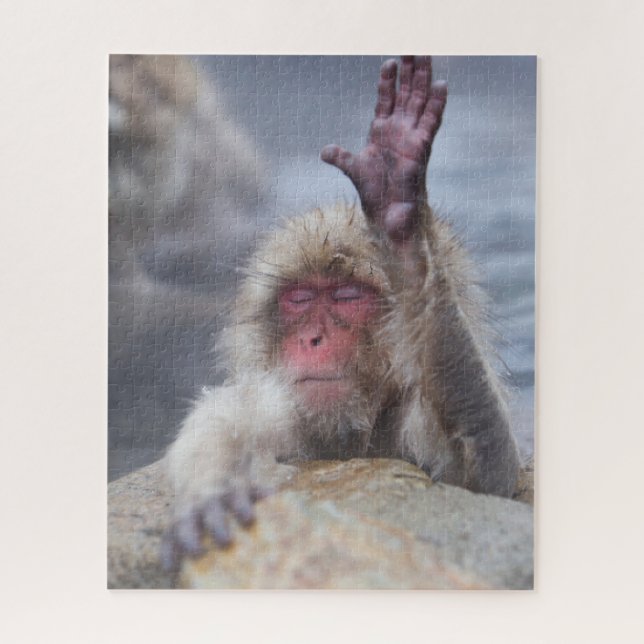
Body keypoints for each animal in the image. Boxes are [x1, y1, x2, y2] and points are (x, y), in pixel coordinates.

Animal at [162, 56, 521, 565]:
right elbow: (220, 423)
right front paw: (211, 493)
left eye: (348, 296)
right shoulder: (275, 408)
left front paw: (404, 235)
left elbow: (489, 474)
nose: (314, 338)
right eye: (300, 298)